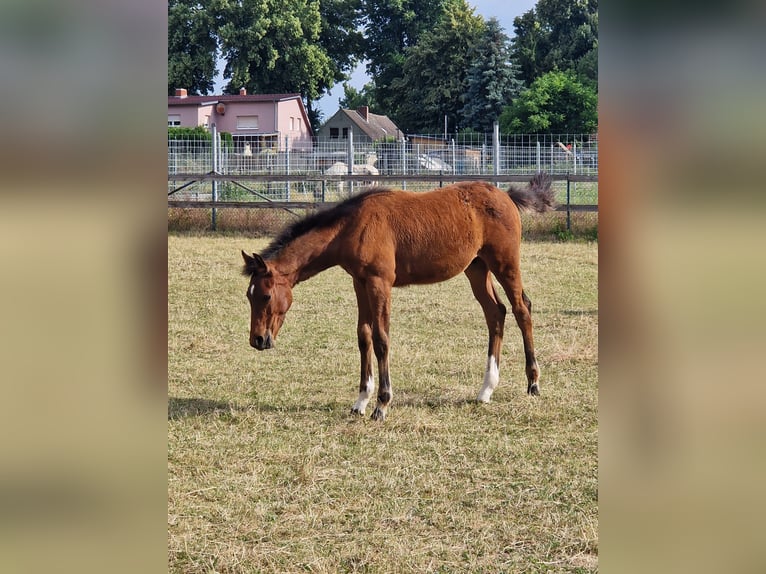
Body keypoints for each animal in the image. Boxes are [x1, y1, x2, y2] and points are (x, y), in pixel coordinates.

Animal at [241, 174, 556, 421]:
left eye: (266, 296)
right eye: (249, 296)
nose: (258, 340)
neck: (352, 226)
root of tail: (506, 195)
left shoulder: (380, 283)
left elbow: (382, 339)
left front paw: (382, 404)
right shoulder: (360, 282)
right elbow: (364, 336)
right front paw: (361, 401)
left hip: (505, 263)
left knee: (521, 309)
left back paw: (533, 383)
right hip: (477, 268)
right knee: (496, 313)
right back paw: (486, 389)